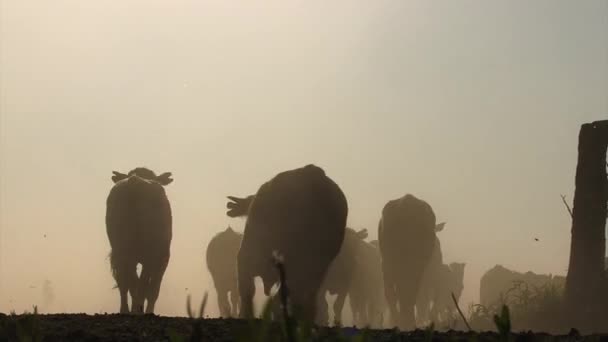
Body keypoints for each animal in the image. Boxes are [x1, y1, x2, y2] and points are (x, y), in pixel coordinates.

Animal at [105, 167, 173, 314]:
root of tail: (134, 180)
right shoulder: (162, 257)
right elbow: (153, 289)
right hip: (148, 253)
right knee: (140, 285)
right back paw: (138, 310)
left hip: (121, 249)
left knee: (125, 282)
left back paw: (125, 310)